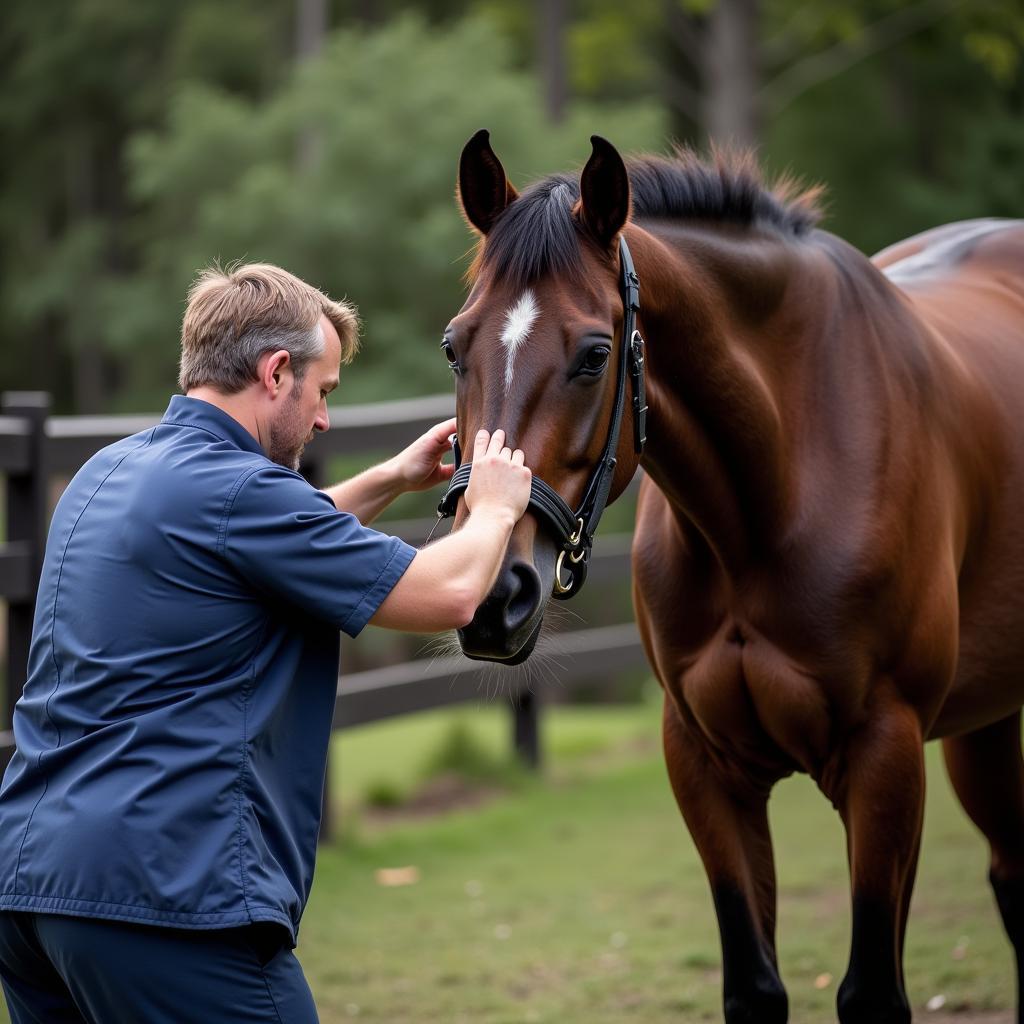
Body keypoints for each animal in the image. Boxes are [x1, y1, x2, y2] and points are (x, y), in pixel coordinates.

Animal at [444, 130, 1024, 1024]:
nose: (493, 596)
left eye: (594, 356)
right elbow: (754, 985)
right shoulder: (704, 761)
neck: (773, 496)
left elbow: (871, 992)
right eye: (454, 346)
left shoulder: (886, 755)